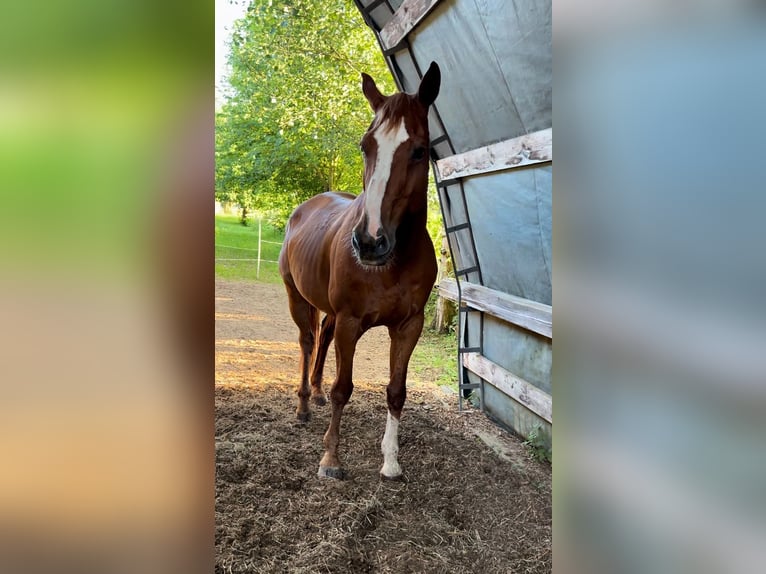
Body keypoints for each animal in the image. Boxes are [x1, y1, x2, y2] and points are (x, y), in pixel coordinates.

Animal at [280, 62, 440, 482]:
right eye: (365, 146)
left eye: (419, 151)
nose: (369, 242)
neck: (393, 263)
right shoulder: (351, 321)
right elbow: (344, 388)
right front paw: (331, 460)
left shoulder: (409, 326)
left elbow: (396, 391)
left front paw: (391, 462)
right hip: (296, 298)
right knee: (307, 341)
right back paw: (304, 405)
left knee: (321, 336)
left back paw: (316, 393)